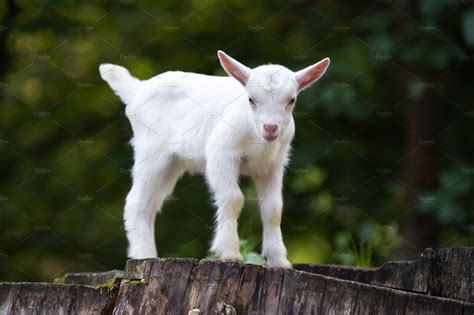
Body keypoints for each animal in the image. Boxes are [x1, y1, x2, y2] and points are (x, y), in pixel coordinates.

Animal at [99, 50, 330, 268]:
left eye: (291, 100)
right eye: (251, 99)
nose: (270, 128)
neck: (256, 136)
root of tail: (136, 90)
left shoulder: (272, 165)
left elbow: (273, 208)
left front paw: (279, 260)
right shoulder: (221, 154)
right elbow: (233, 199)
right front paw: (229, 253)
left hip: (172, 164)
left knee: (151, 204)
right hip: (152, 152)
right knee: (136, 202)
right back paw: (143, 255)